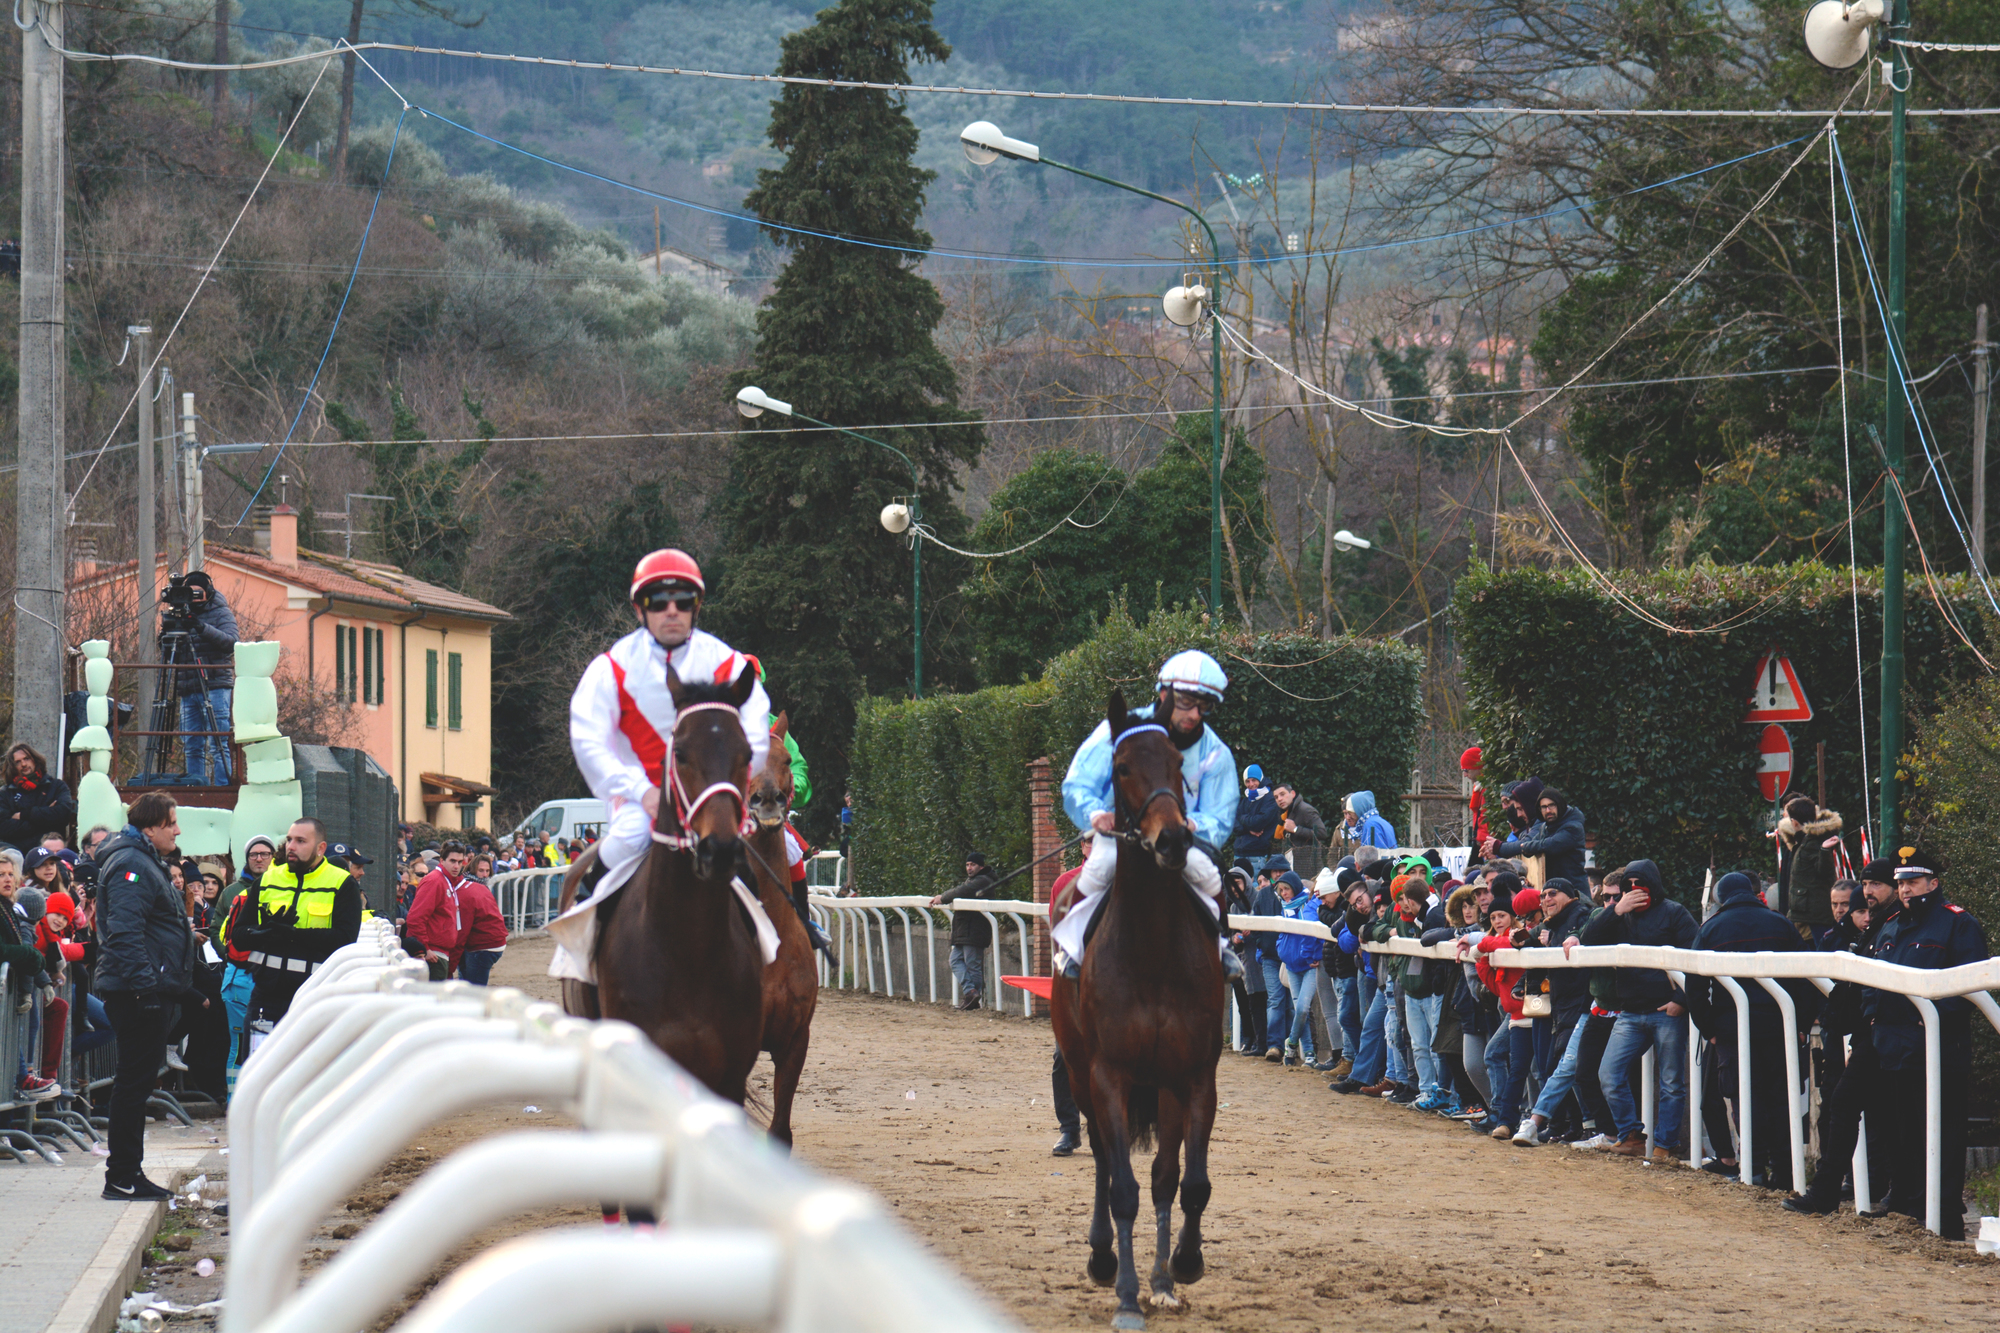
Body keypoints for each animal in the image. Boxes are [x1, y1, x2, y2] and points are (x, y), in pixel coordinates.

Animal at [1056, 688, 1224, 1320]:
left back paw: (1160, 1278)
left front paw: (1179, 1267)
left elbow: (1185, 1182)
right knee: (1105, 1160)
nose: (1173, 839)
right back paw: (1105, 1258)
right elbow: (1122, 1186)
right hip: (1078, 1068)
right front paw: (1127, 1294)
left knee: (1162, 1175)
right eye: (1122, 767)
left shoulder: (1194, 1074)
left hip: (1164, 1087)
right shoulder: (1110, 1072)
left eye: (1179, 767)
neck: (1151, 950)